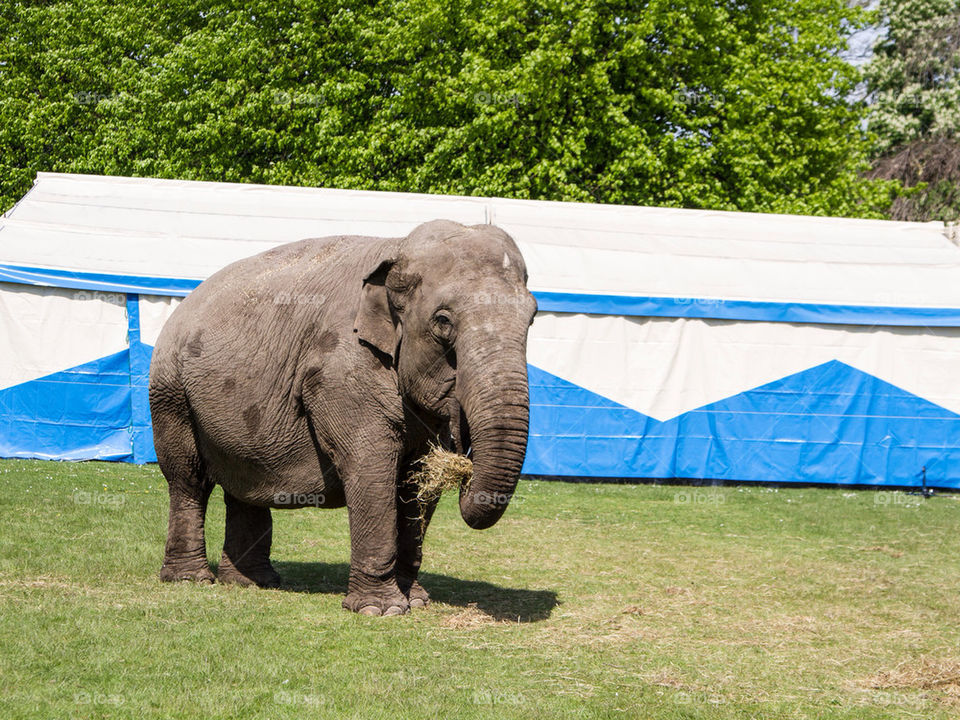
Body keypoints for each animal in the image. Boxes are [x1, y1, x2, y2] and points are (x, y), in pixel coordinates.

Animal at [151, 218, 540, 612]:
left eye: (532, 318)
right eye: (443, 321)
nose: (465, 464)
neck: (397, 247)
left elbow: (417, 478)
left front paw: (415, 601)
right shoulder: (341, 369)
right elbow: (371, 465)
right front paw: (380, 609)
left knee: (243, 483)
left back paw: (253, 582)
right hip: (170, 393)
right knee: (188, 478)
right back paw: (191, 579)